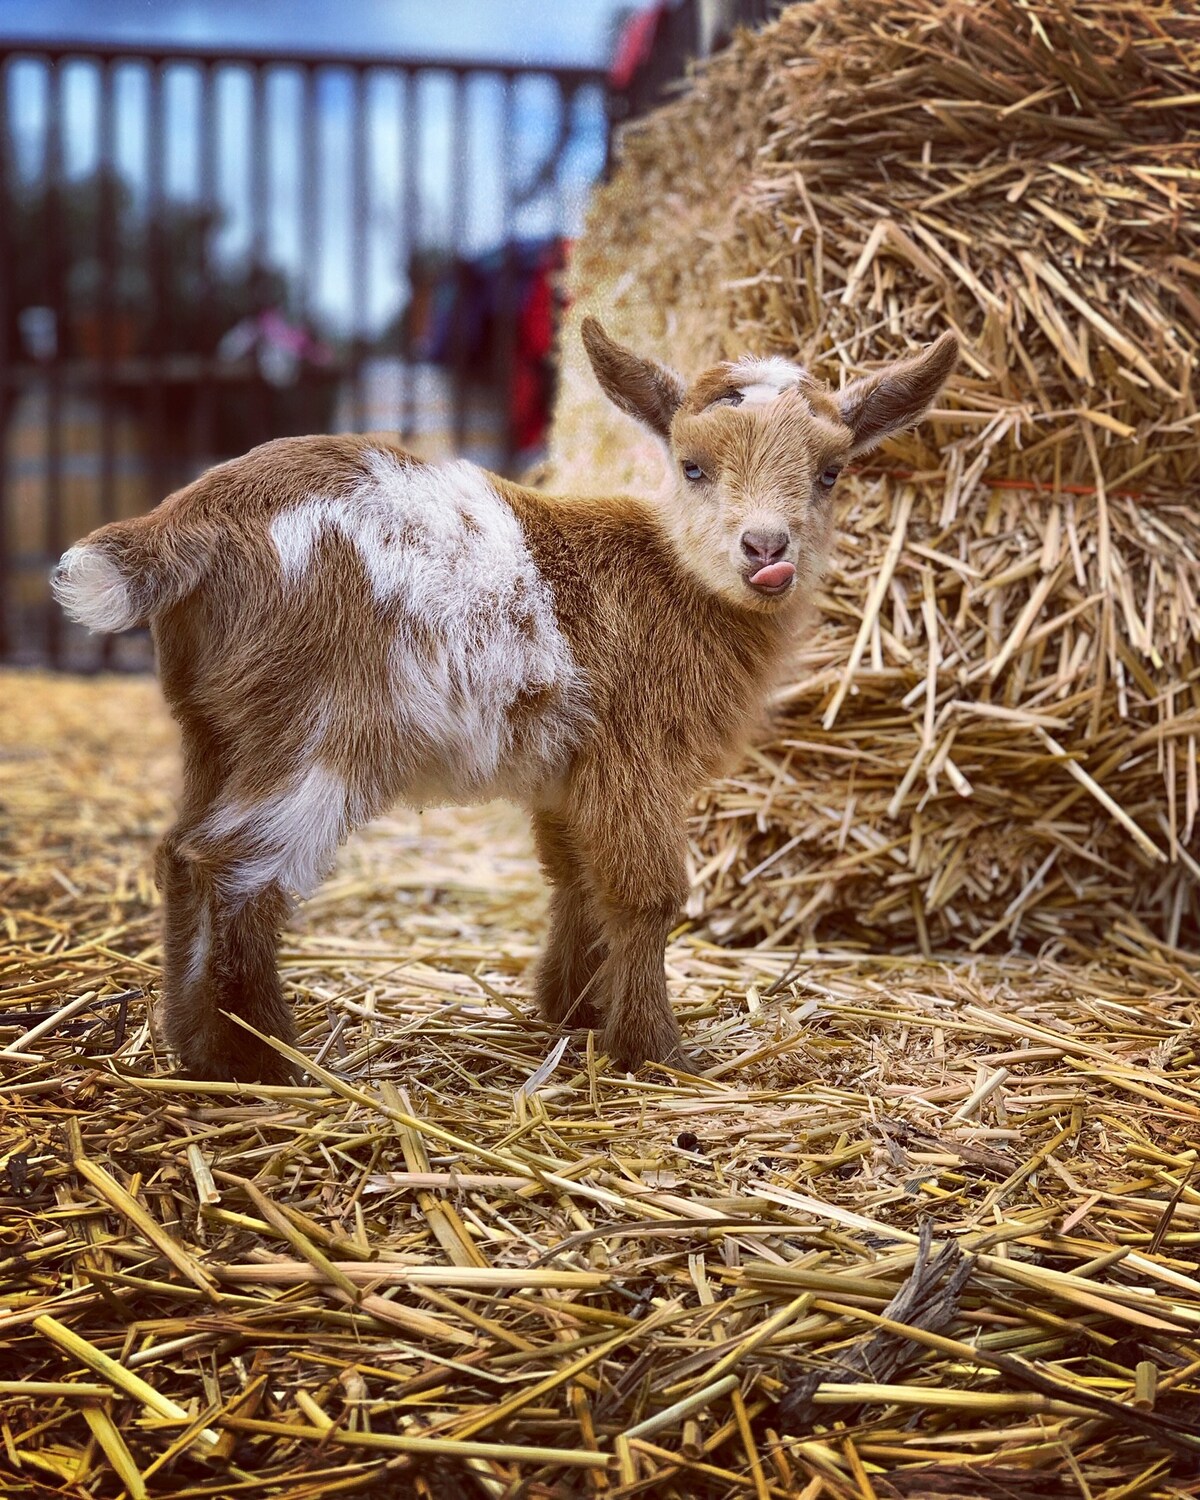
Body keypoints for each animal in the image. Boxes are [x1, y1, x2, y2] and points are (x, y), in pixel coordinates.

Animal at [54, 322, 954, 1086]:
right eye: (692, 465)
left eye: (831, 473)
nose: (767, 552)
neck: (675, 580)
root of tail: (189, 524)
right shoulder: (634, 754)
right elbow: (646, 892)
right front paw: (655, 1051)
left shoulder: (570, 771)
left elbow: (575, 876)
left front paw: (573, 1010)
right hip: (318, 727)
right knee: (235, 864)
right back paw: (266, 1057)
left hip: (215, 724)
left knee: (178, 851)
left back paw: (196, 1047)